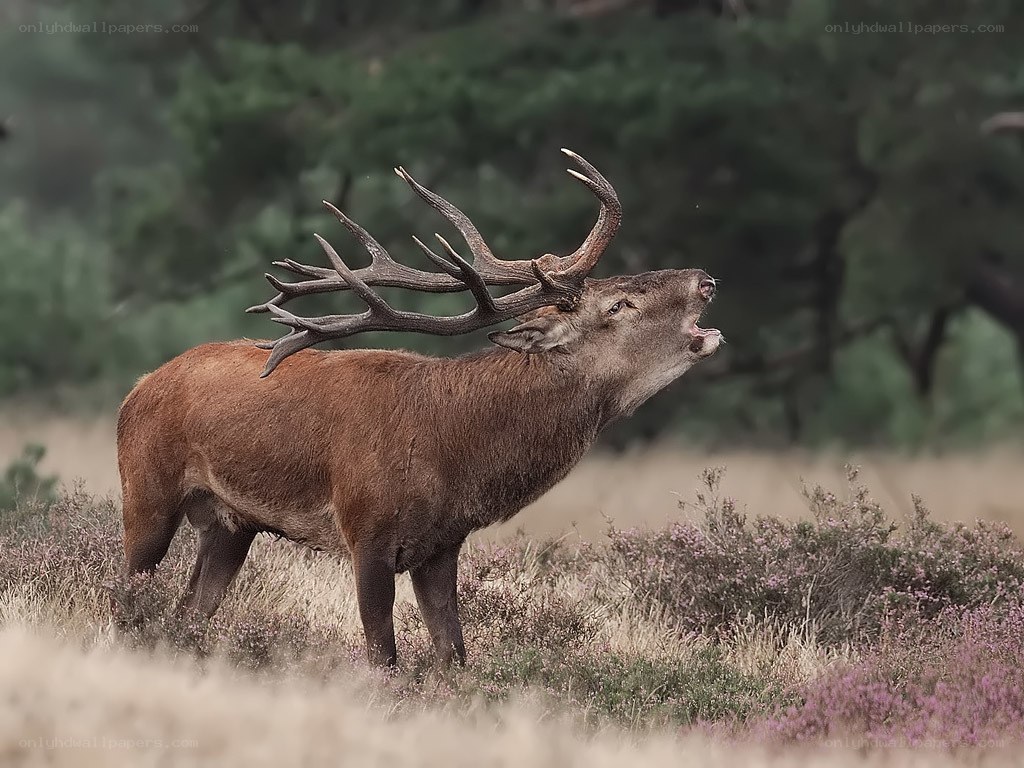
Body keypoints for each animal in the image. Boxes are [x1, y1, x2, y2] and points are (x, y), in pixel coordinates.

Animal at [116, 149, 722, 667]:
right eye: (619, 304)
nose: (706, 279)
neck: (452, 453)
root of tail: (137, 388)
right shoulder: (365, 532)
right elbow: (383, 658)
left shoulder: (441, 547)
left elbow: (453, 656)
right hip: (145, 491)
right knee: (126, 603)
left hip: (229, 525)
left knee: (186, 615)